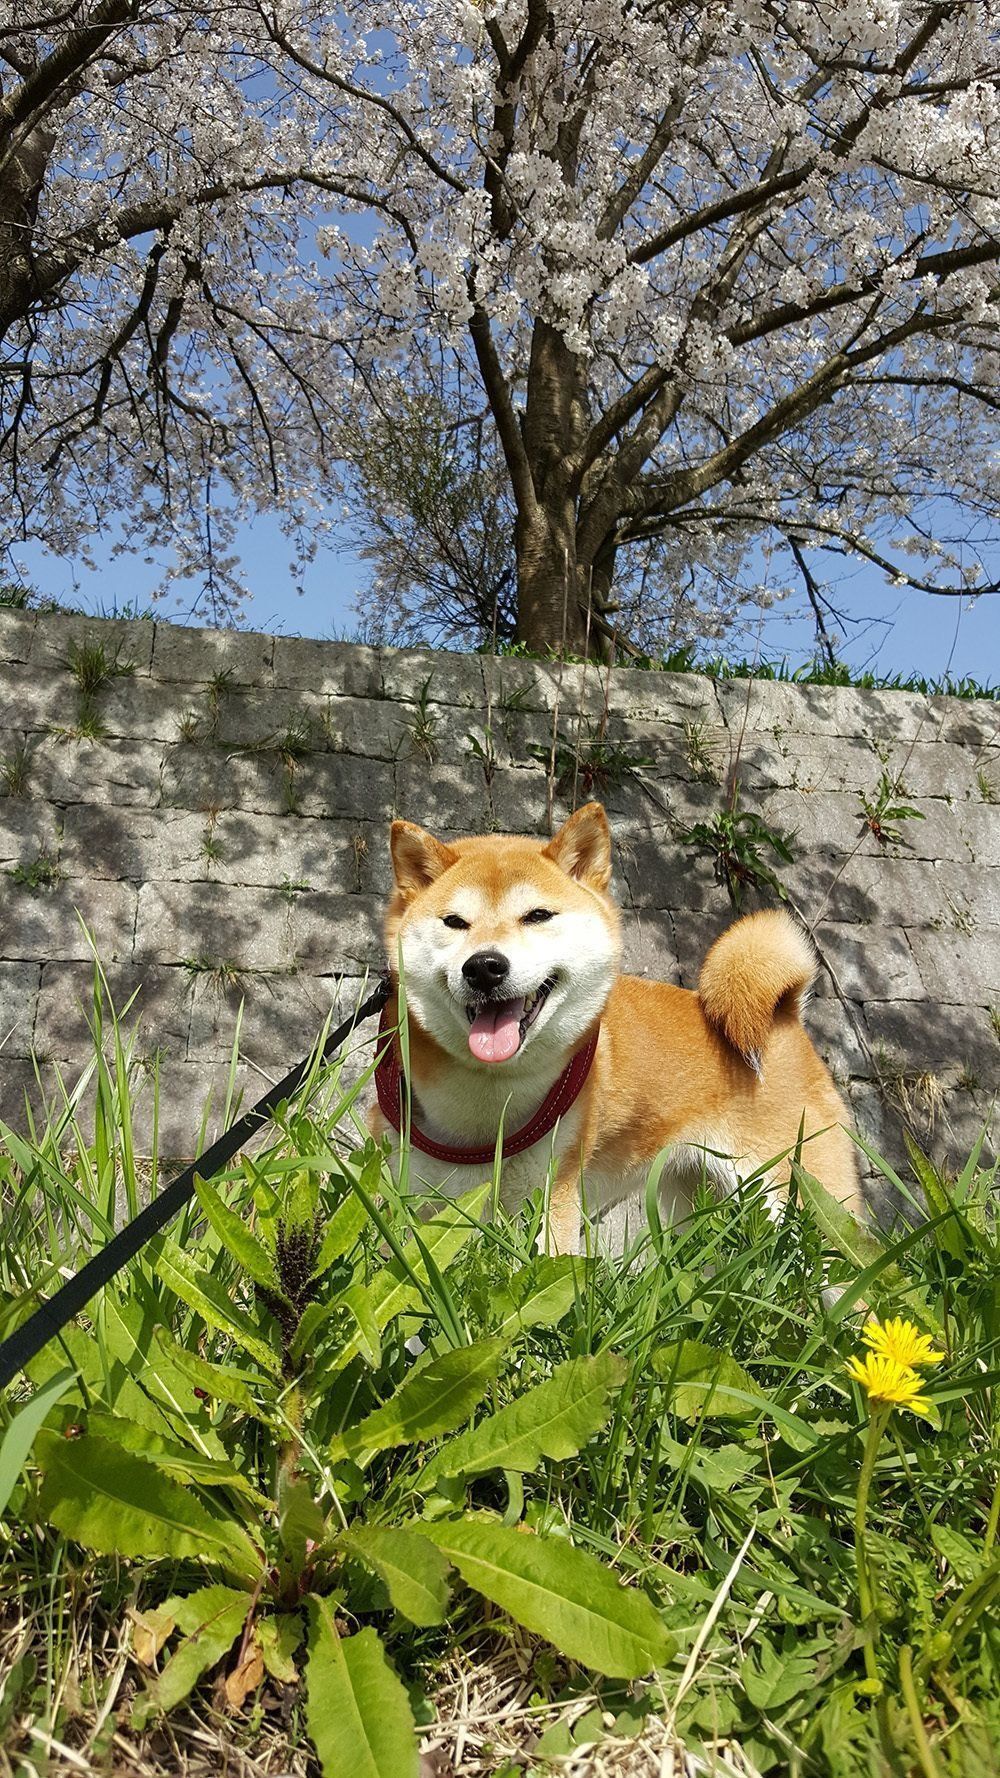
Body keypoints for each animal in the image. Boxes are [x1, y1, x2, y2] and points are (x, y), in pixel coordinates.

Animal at [373, 807, 857, 1251]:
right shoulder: (403, 1191)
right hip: (690, 1206)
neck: (489, 1101)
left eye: (537, 915)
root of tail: (786, 1015)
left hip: (808, 1208)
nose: (484, 966)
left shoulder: (554, 1193)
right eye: (454, 922)